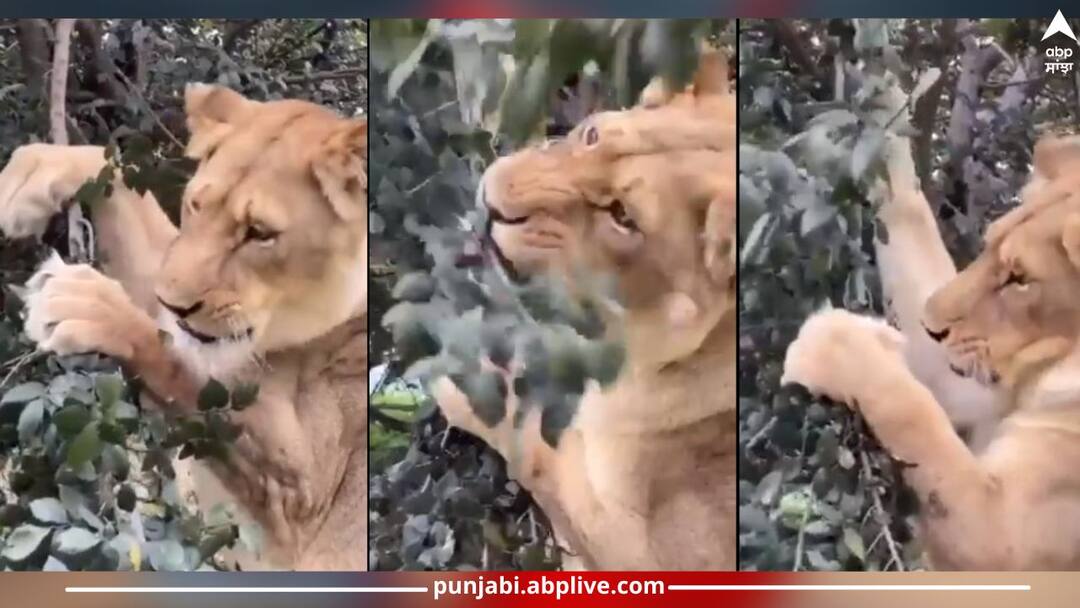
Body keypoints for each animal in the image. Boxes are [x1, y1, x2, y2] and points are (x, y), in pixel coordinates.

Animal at [0, 85, 367, 571]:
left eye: (260, 233)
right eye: (196, 205)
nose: (173, 304)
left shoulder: (300, 502)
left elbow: (172, 362)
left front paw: (86, 304)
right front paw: (29, 177)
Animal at [782, 89, 1080, 568]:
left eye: (1019, 279)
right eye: (988, 244)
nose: (930, 326)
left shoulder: (1006, 536)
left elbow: (910, 410)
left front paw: (834, 342)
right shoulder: (971, 386)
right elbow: (910, 213)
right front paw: (886, 101)